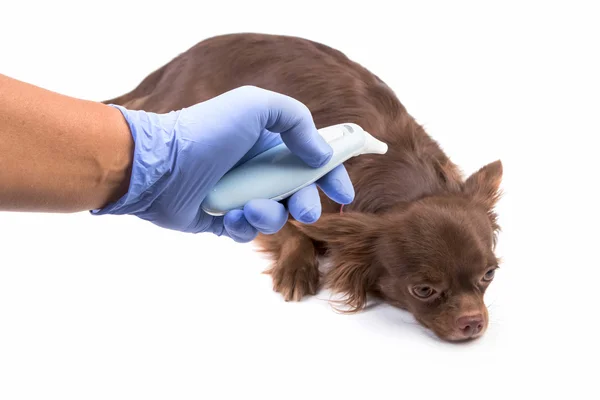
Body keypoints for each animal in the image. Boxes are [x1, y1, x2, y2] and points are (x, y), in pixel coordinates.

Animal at [104, 32, 502, 342]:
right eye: (423, 291)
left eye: (489, 275)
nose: (473, 323)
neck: (398, 169)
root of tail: (178, 59)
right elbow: (293, 230)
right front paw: (297, 267)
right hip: (179, 106)